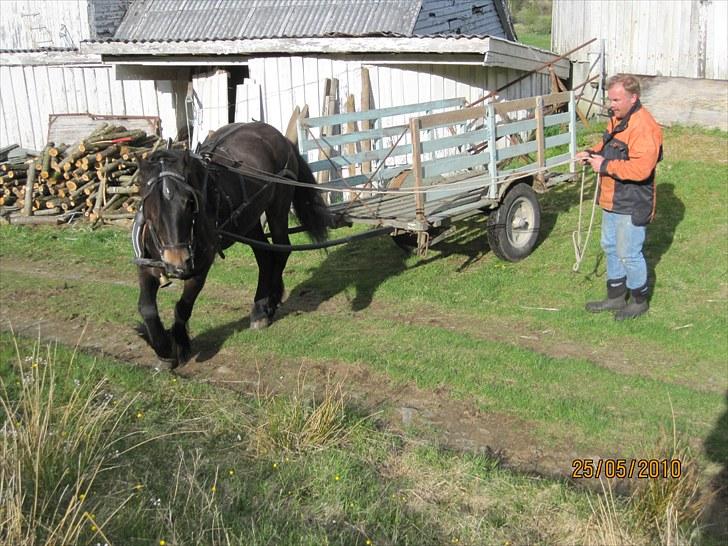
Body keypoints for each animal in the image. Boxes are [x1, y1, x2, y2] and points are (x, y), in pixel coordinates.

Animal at [133, 121, 330, 364]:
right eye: (149, 203)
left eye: (189, 202)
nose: (178, 263)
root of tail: (277, 134)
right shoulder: (147, 265)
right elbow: (147, 308)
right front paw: (162, 347)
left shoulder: (200, 267)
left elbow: (183, 306)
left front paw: (179, 344)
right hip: (250, 219)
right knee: (264, 257)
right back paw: (263, 304)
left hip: (278, 207)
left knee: (281, 250)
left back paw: (267, 306)